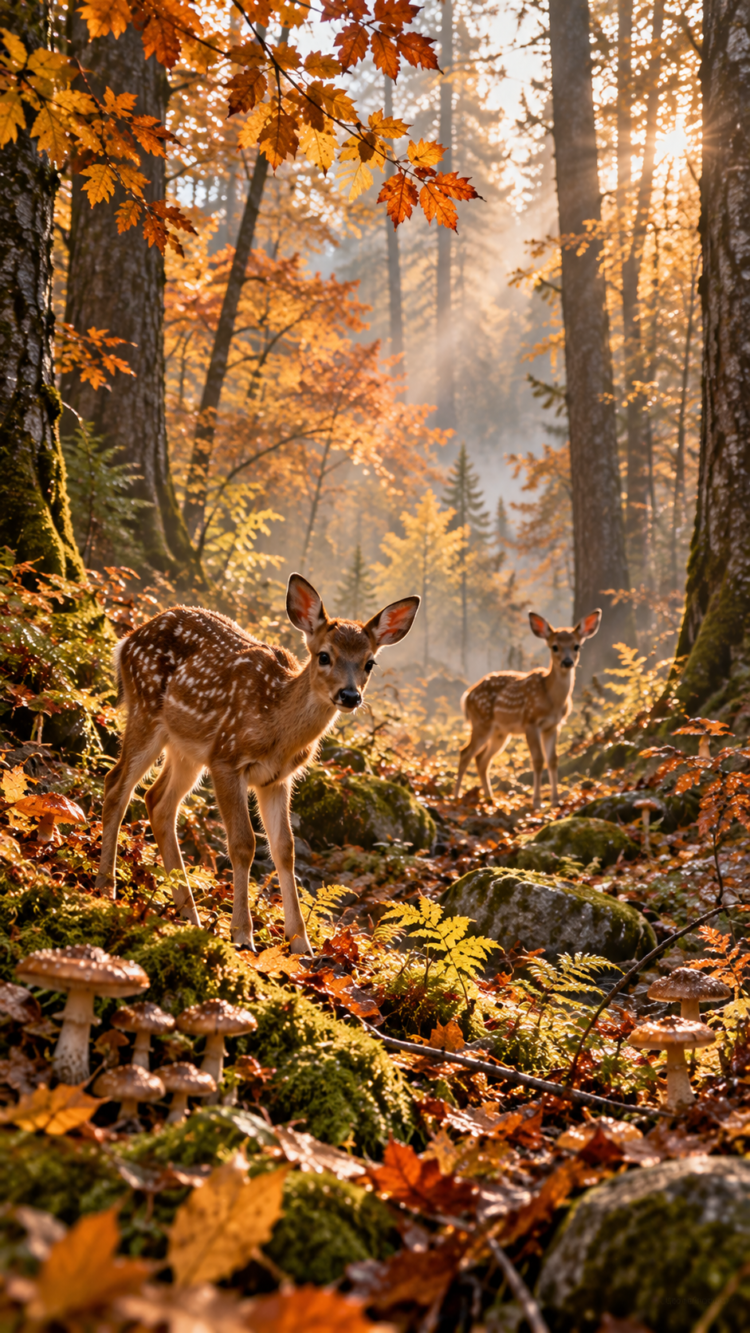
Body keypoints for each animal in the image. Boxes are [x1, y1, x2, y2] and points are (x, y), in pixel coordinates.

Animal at [95, 573, 420, 954]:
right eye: (324, 656)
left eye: (369, 663)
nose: (350, 695)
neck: (276, 724)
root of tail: (126, 641)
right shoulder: (226, 759)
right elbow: (243, 844)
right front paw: (242, 934)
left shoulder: (276, 779)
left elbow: (285, 849)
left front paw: (301, 943)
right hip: (146, 711)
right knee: (116, 784)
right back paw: (106, 886)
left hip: (186, 748)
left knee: (157, 801)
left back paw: (189, 913)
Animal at [454, 609, 602, 807]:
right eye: (555, 646)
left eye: (576, 646)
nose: (567, 662)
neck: (552, 700)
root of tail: (467, 695)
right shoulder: (530, 722)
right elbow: (538, 760)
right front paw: (537, 802)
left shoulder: (553, 726)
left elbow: (553, 760)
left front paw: (555, 801)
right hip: (481, 722)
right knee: (465, 753)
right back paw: (455, 796)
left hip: (500, 732)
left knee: (481, 759)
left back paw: (490, 798)